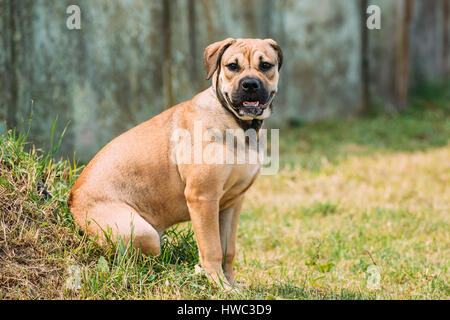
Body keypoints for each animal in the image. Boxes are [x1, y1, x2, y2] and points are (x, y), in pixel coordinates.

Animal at [68, 37, 284, 288]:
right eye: (232, 66)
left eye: (266, 65)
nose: (250, 84)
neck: (237, 123)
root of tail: (72, 199)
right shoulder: (202, 198)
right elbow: (212, 248)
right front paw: (219, 285)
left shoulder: (232, 203)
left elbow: (228, 249)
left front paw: (231, 283)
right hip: (141, 232)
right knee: (135, 262)